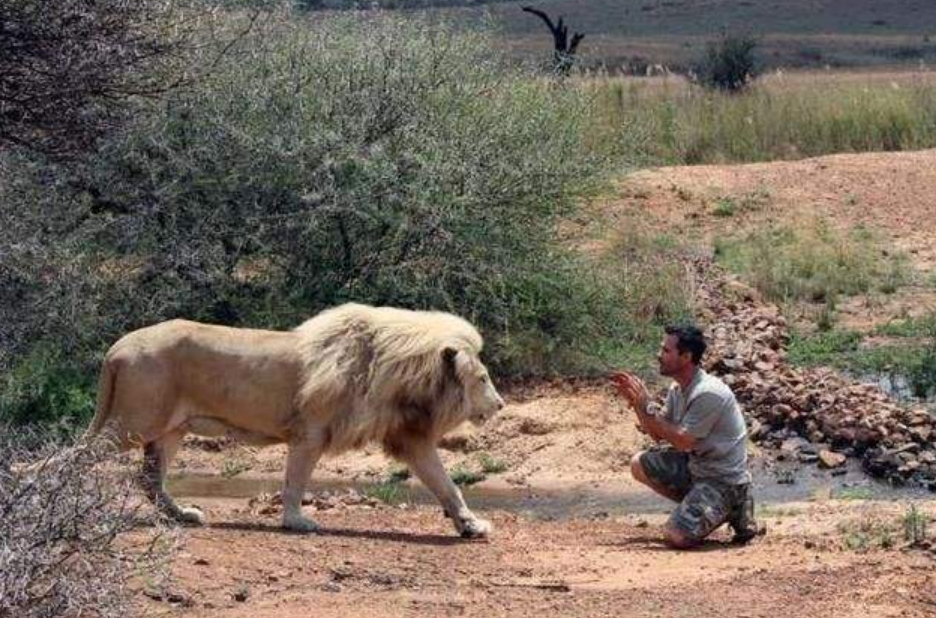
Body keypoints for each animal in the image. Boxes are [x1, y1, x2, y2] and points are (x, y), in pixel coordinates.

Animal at [88, 302, 504, 536]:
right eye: (483, 379)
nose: (501, 405)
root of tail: (116, 347)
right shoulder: (310, 432)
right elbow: (295, 481)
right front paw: (296, 522)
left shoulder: (410, 436)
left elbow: (446, 485)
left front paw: (470, 525)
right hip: (132, 422)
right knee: (78, 455)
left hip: (170, 429)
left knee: (149, 478)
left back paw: (183, 515)